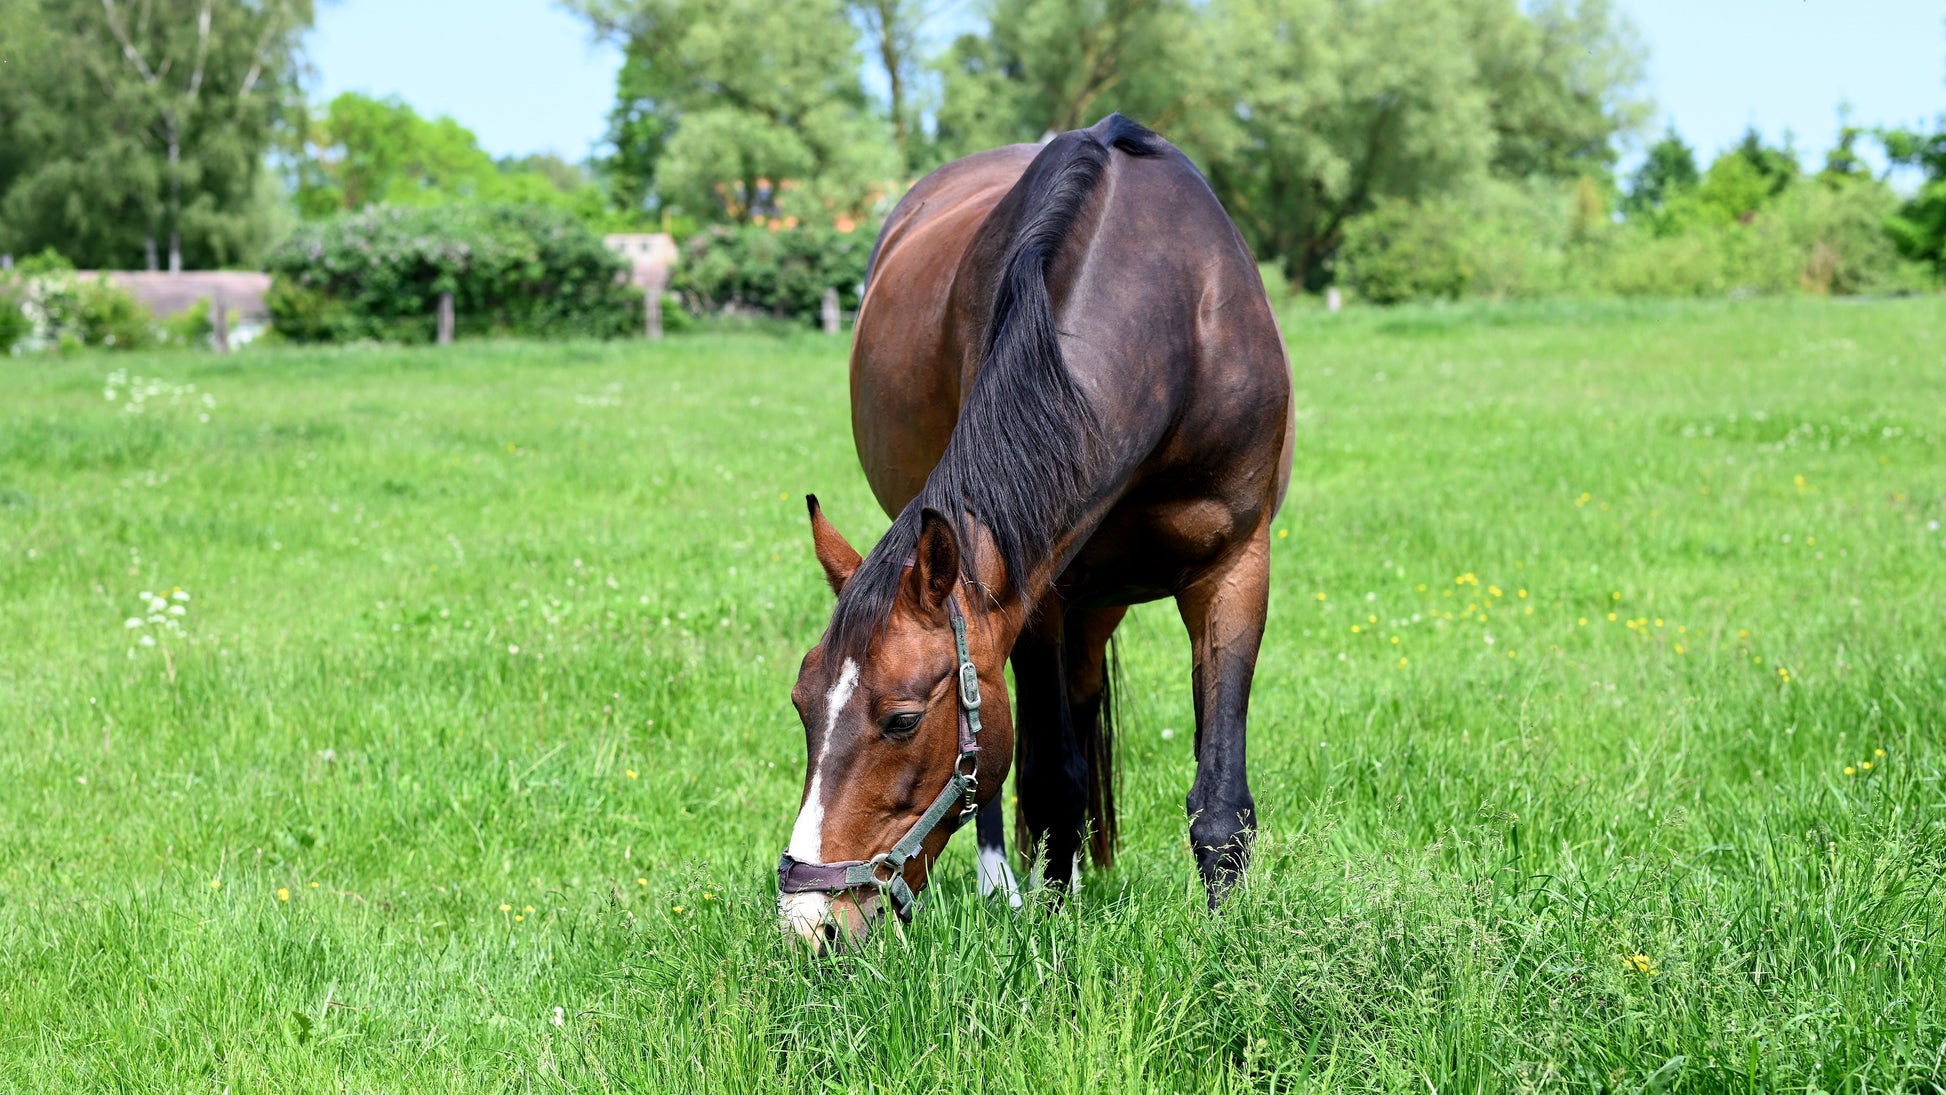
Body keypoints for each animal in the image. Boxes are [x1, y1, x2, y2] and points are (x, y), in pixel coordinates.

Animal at [777, 114, 1294, 952]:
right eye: (802, 704)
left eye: (901, 719)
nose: (809, 920)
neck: (1179, 314)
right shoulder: (1033, 591)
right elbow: (1052, 780)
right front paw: (1051, 928)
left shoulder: (1236, 566)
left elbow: (1220, 804)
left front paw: (1226, 945)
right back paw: (1006, 886)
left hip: (1101, 602)